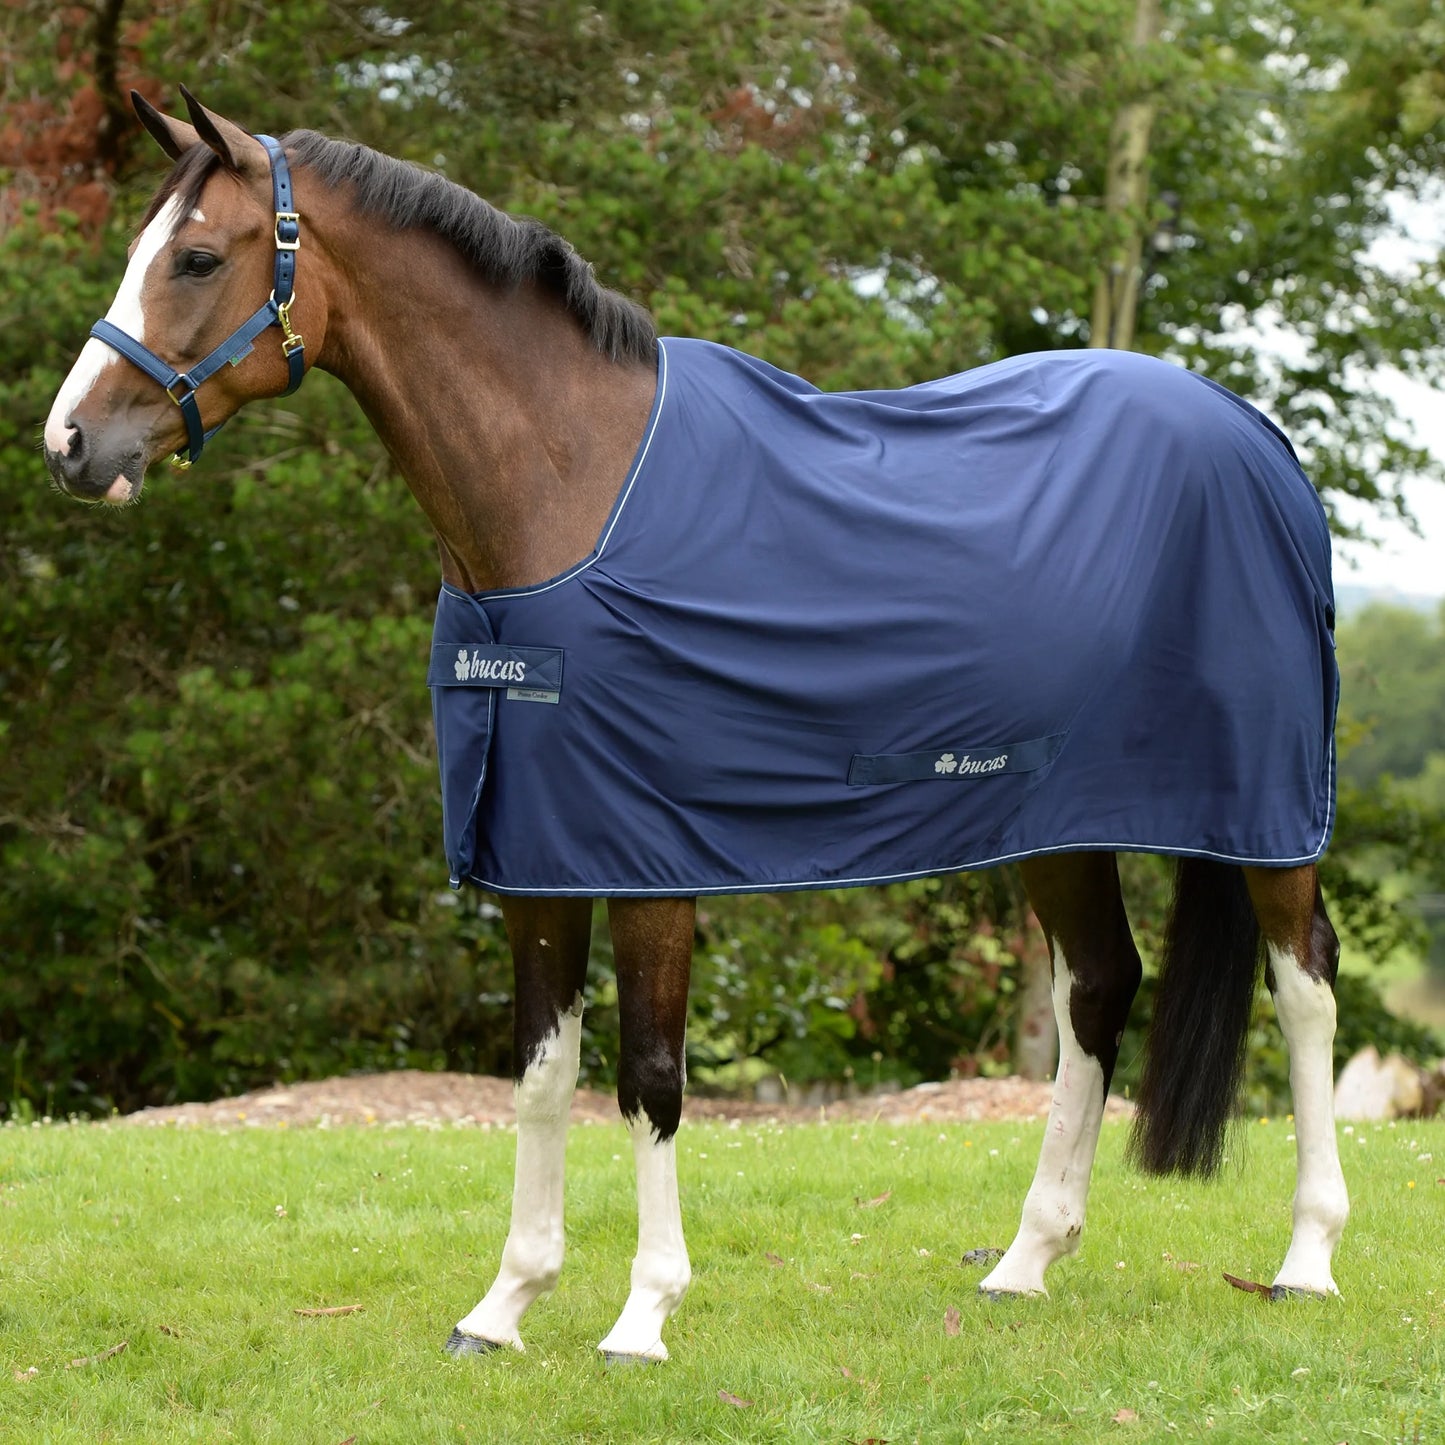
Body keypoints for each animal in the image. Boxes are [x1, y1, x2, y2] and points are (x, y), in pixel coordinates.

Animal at [43, 89, 1349, 1364]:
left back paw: (1304, 1257)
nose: (68, 444)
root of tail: (1254, 437)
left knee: (1303, 983)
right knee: (1097, 987)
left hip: (1267, 811)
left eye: (198, 257)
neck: (566, 491)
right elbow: (541, 1075)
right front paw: (504, 1304)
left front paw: (642, 1313)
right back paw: (1027, 1258)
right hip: (1052, 815)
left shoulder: (648, 858)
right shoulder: (536, 856)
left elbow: (650, 1079)